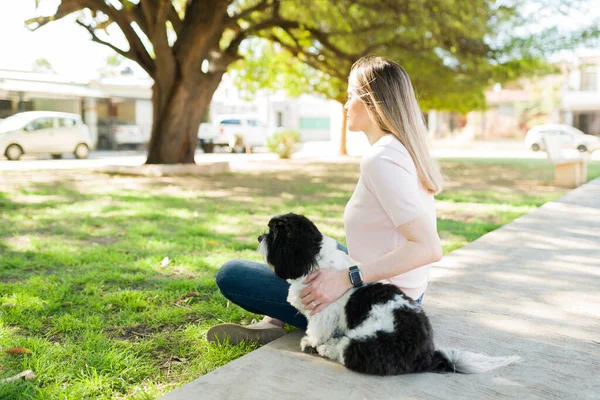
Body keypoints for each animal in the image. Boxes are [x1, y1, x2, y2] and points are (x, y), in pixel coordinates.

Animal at [258, 214, 520, 376]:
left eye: (274, 234)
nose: (259, 237)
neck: (314, 260)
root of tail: (427, 355)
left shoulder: (323, 312)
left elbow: (316, 331)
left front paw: (310, 343)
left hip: (370, 343)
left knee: (348, 351)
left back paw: (328, 349)